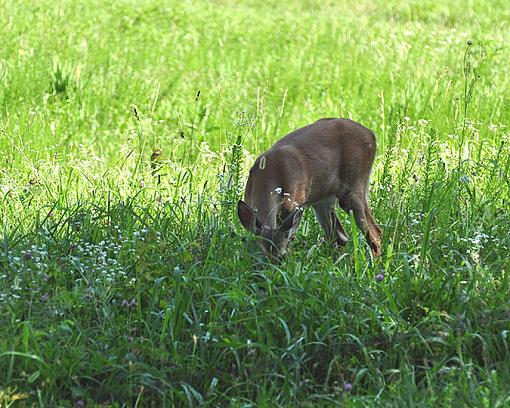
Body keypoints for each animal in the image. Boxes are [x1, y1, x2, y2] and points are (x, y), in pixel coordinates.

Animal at [237, 117, 380, 258]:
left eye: (282, 257)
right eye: (264, 254)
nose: (276, 263)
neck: (269, 177)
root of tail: (372, 135)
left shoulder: (295, 201)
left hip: (354, 187)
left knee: (375, 233)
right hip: (323, 198)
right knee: (340, 237)